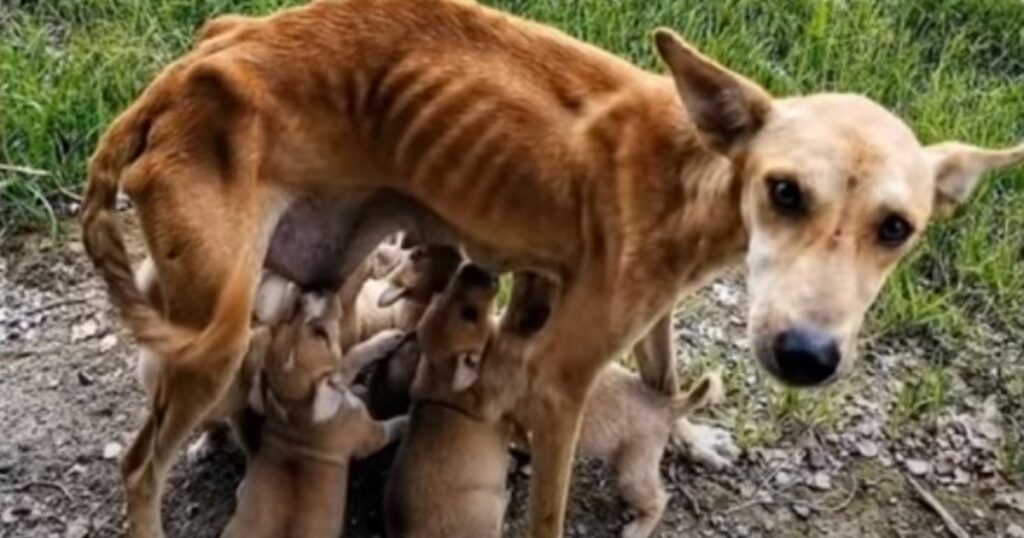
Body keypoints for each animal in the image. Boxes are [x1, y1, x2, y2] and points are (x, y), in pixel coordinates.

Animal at [222, 293, 405, 536]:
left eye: (288, 320)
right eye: (321, 334)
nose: (311, 294)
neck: (295, 407)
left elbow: (349, 358)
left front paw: (384, 340)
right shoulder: (371, 435)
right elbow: (394, 425)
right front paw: (409, 419)